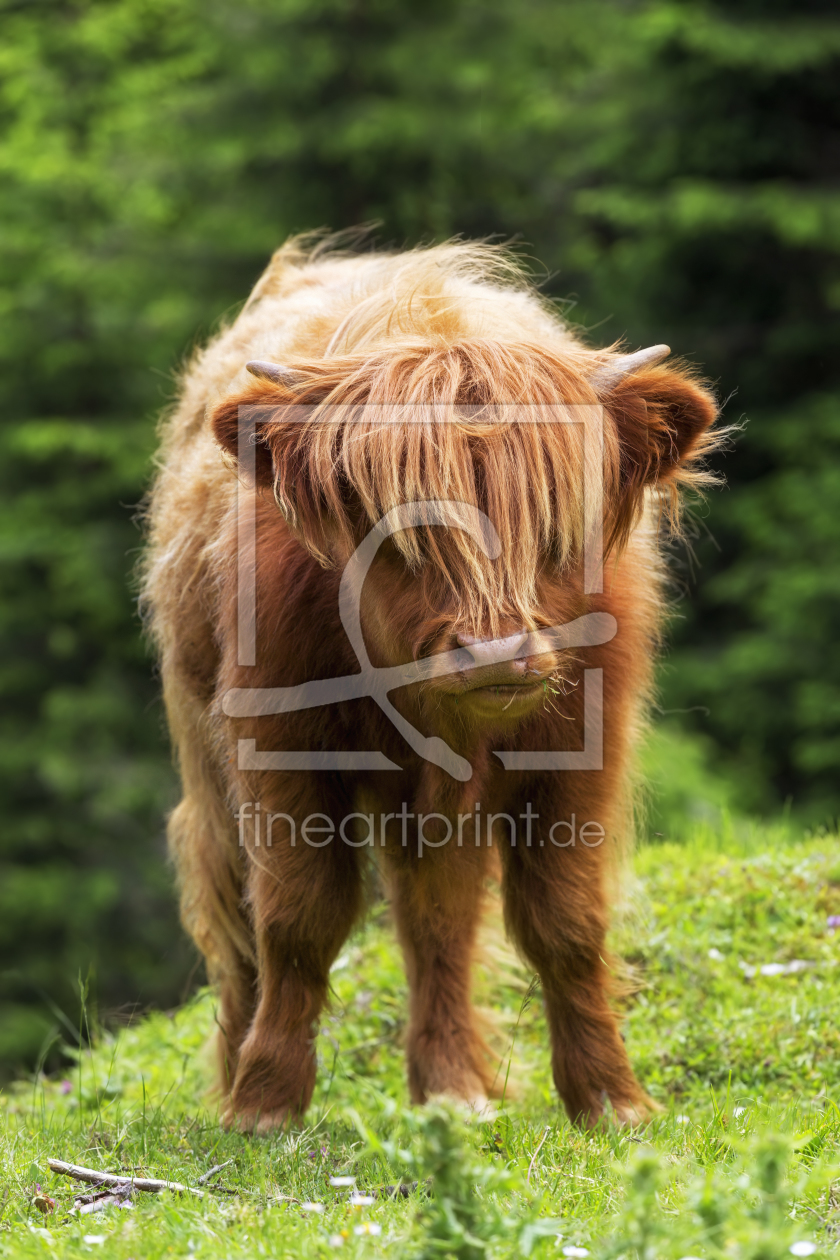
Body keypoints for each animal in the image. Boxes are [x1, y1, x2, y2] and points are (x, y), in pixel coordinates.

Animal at [142, 238, 715, 1134]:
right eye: (398, 537)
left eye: (554, 527)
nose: (497, 652)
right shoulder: (281, 748)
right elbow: (297, 917)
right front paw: (265, 1102)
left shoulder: (581, 746)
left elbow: (566, 918)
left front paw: (610, 1098)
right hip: (206, 754)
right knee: (233, 910)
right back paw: (239, 1066)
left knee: (435, 915)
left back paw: (451, 1087)